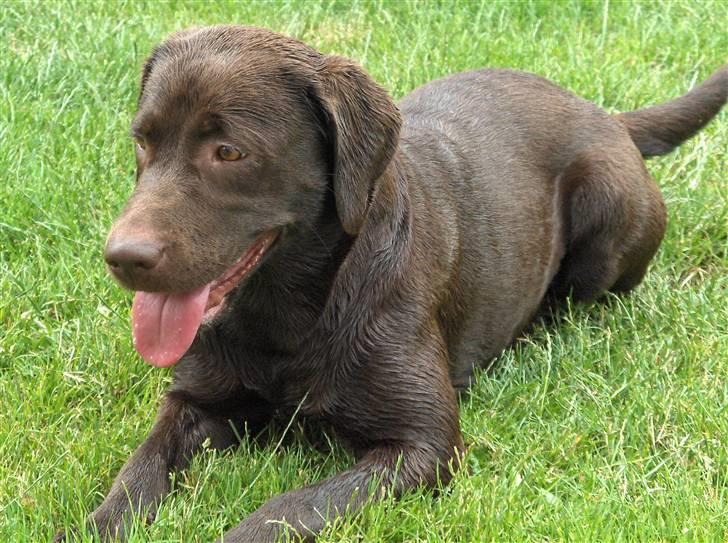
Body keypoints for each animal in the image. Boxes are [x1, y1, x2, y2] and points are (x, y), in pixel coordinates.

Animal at [59, 24, 724, 543]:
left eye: (229, 152)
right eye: (142, 142)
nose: (121, 257)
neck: (289, 316)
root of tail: (606, 115)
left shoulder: (422, 445)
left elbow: (283, 511)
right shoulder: (194, 400)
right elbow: (134, 477)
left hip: (605, 215)